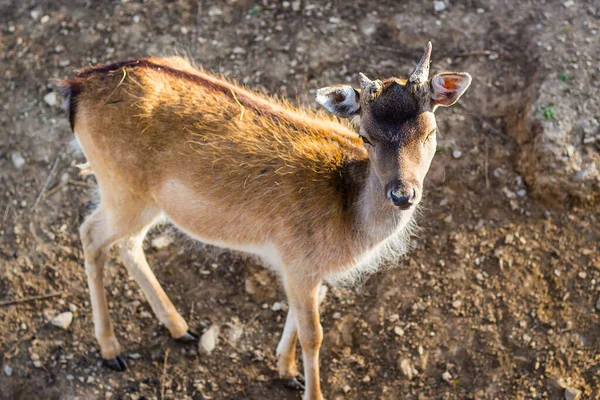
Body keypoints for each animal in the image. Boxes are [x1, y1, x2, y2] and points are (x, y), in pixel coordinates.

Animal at [63, 42, 472, 398]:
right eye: (366, 136)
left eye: (431, 131)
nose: (402, 194)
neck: (347, 221)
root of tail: (76, 86)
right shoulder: (299, 260)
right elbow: (313, 334)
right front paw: (309, 389)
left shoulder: (300, 267)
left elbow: (299, 311)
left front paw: (285, 371)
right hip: (121, 188)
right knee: (90, 233)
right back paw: (111, 351)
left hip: (145, 201)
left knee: (128, 242)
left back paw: (181, 329)